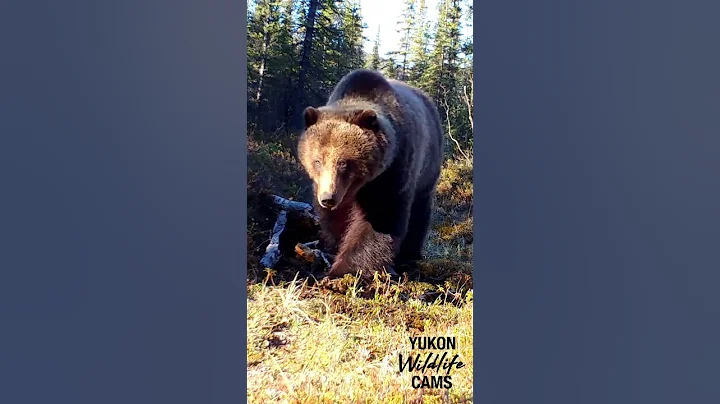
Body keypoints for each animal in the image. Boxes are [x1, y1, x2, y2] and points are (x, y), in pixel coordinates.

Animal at [296, 69, 444, 278]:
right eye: (317, 161)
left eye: (343, 162)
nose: (328, 198)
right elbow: (337, 219)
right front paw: (335, 248)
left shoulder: (392, 171)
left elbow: (380, 216)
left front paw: (343, 269)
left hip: (428, 166)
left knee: (420, 209)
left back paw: (410, 254)